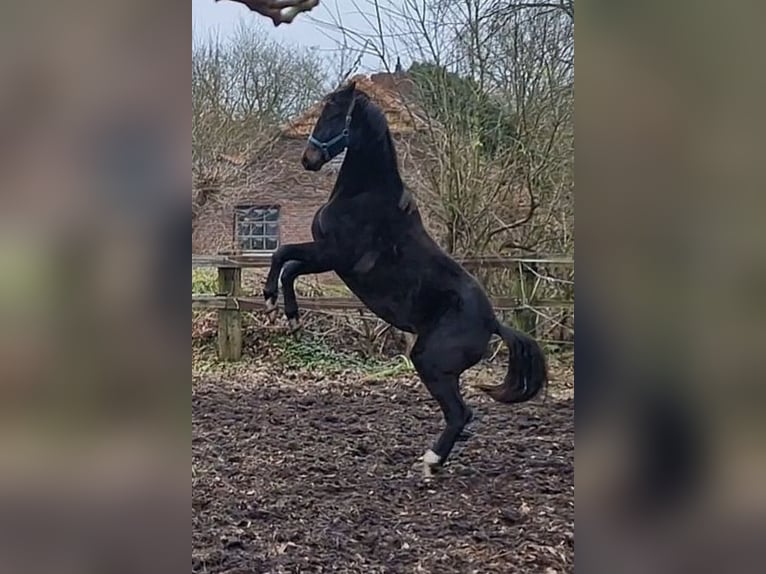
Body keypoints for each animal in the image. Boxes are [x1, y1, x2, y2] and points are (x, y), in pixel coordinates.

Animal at [266, 81, 552, 476]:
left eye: (335, 112)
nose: (308, 159)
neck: (364, 196)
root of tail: (494, 324)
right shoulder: (328, 260)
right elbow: (291, 267)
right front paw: (292, 317)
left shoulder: (333, 255)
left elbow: (283, 255)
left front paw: (269, 299)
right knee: (461, 414)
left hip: (430, 363)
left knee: (461, 413)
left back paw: (429, 463)